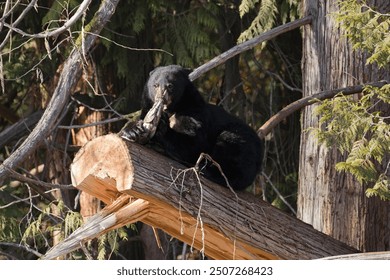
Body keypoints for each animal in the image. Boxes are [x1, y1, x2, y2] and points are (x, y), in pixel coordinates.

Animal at [120, 65, 264, 190]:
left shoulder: (195, 112)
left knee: (231, 149)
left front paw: (161, 125)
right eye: (155, 85)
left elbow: (192, 143)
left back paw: (206, 170)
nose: (161, 98)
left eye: (170, 85)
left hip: (243, 141)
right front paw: (133, 130)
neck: (172, 110)